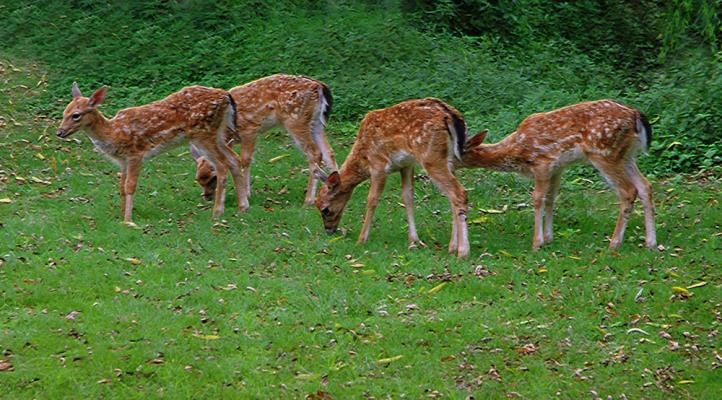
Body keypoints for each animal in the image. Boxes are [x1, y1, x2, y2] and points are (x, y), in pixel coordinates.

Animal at [57, 82, 244, 223]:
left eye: (76, 115)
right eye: (64, 112)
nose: (59, 132)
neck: (114, 133)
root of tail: (226, 95)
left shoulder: (136, 155)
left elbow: (130, 186)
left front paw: (128, 220)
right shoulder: (123, 161)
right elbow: (121, 187)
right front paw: (122, 214)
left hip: (204, 134)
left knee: (222, 165)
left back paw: (217, 212)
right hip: (217, 134)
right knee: (234, 159)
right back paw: (243, 207)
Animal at [191, 74, 337, 210]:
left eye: (213, 177)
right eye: (198, 179)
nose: (207, 197)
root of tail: (318, 86)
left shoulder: (249, 129)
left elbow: (245, 160)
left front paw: (247, 193)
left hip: (296, 119)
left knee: (315, 153)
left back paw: (309, 200)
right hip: (316, 123)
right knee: (329, 152)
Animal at [315, 98, 470, 257]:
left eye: (325, 209)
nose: (329, 231)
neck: (363, 158)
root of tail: (450, 115)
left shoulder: (379, 165)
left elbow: (372, 199)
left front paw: (361, 239)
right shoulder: (407, 165)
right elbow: (408, 197)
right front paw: (414, 240)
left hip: (431, 157)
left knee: (459, 193)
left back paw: (462, 251)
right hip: (449, 159)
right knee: (452, 197)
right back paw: (452, 247)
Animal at [459, 99, 656, 251]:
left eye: (460, 151)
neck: (516, 151)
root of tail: (635, 115)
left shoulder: (542, 163)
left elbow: (538, 198)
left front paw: (536, 243)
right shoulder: (557, 168)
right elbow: (551, 199)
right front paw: (548, 238)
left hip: (604, 153)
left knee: (628, 190)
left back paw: (614, 243)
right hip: (626, 155)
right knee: (645, 185)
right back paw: (651, 243)